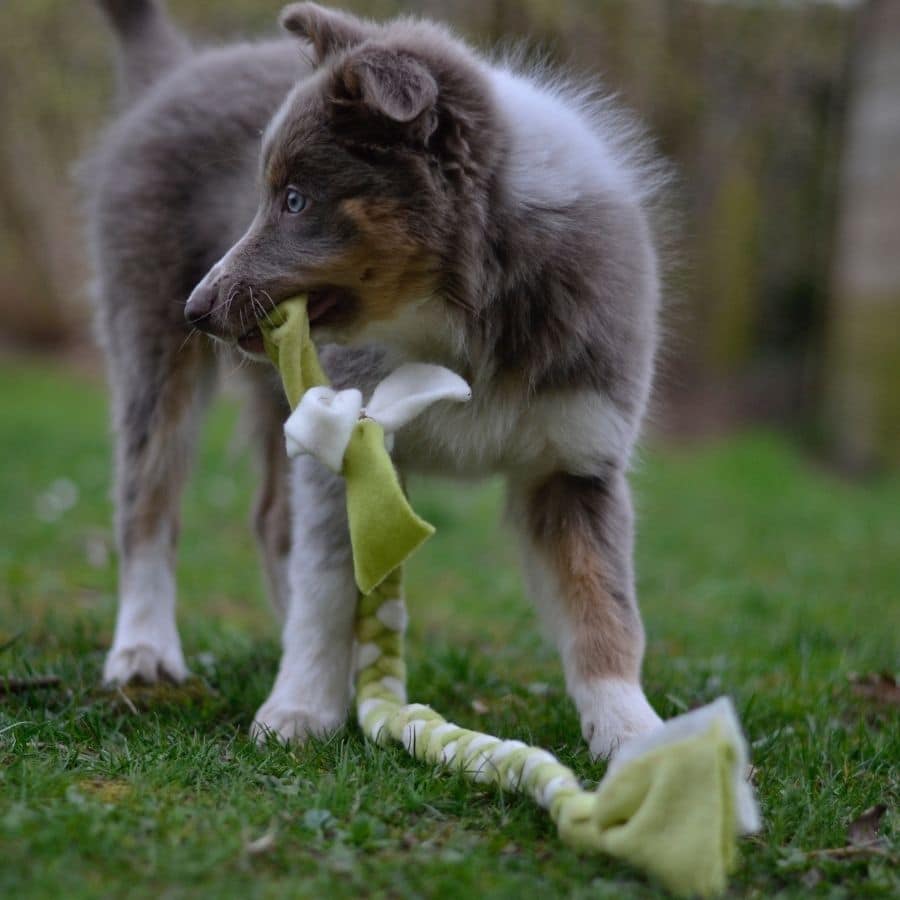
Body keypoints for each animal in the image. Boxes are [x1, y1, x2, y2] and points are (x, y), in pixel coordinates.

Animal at [88, 1, 668, 760]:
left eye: (295, 200)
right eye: (267, 196)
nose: (197, 309)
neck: (460, 315)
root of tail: (178, 70)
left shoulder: (577, 460)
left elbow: (604, 603)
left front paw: (633, 731)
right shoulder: (345, 442)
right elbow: (327, 584)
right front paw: (299, 706)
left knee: (269, 520)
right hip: (152, 349)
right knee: (148, 503)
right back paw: (144, 652)